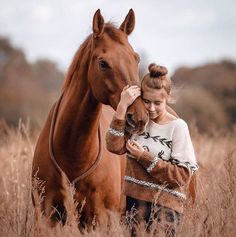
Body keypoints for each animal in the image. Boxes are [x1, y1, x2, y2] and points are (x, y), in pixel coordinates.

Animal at [32, 9, 148, 228]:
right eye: (103, 63)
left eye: (136, 58)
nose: (138, 117)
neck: (73, 154)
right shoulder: (47, 217)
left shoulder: (100, 219)